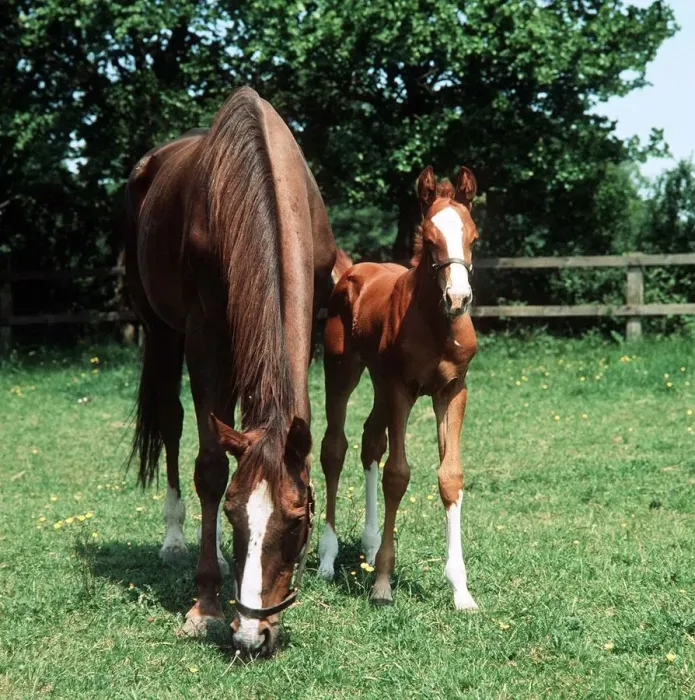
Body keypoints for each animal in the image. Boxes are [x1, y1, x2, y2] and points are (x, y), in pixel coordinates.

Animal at [124, 87, 336, 655]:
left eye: (296, 520)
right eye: (234, 514)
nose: (251, 634)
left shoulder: (307, 324)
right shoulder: (205, 338)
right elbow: (211, 469)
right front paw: (205, 605)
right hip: (160, 332)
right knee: (172, 422)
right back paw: (177, 540)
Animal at [317, 165, 479, 610]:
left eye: (474, 237)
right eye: (430, 239)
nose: (458, 299)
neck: (436, 325)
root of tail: (353, 270)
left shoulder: (452, 391)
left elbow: (450, 476)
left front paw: (461, 590)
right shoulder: (402, 390)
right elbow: (397, 475)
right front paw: (383, 584)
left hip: (378, 384)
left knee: (371, 441)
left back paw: (370, 547)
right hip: (343, 371)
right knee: (334, 448)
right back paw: (327, 558)